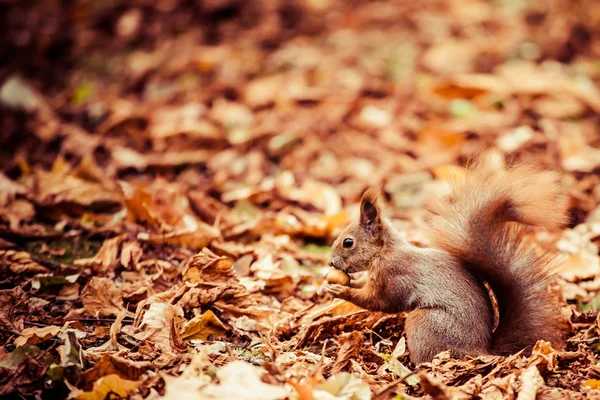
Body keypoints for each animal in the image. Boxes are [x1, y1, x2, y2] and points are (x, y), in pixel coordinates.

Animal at [324, 157, 568, 366]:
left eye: (348, 242)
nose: (330, 262)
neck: (384, 252)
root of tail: (479, 350)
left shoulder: (393, 277)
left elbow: (379, 302)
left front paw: (341, 291)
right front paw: (337, 284)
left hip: (424, 323)